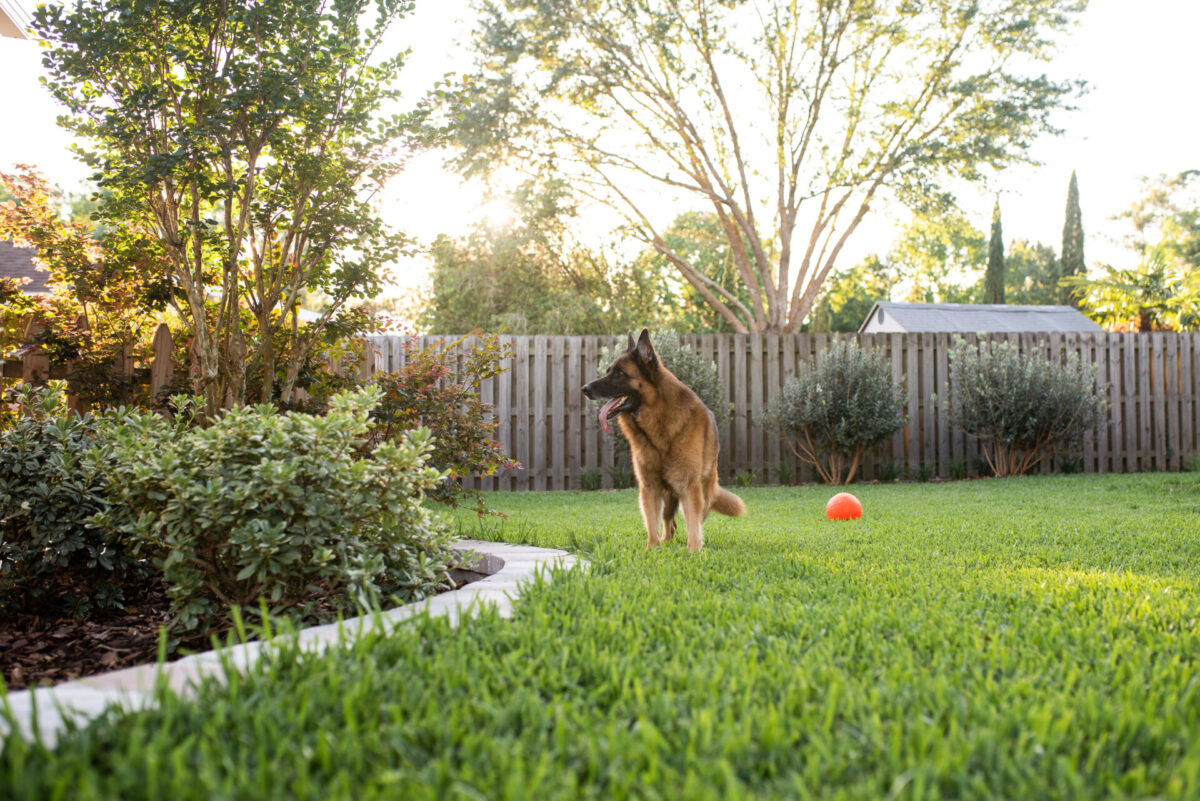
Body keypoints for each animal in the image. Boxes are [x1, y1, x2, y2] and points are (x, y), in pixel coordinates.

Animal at [578, 326, 739, 551]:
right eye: (609, 370)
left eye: (619, 373)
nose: (584, 389)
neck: (658, 421)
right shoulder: (650, 487)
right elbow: (651, 521)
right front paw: (653, 548)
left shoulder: (689, 486)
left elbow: (693, 523)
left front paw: (694, 551)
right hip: (668, 495)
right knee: (667, 520)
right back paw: (667, 539)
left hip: (703, 493)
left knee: (694, 517)